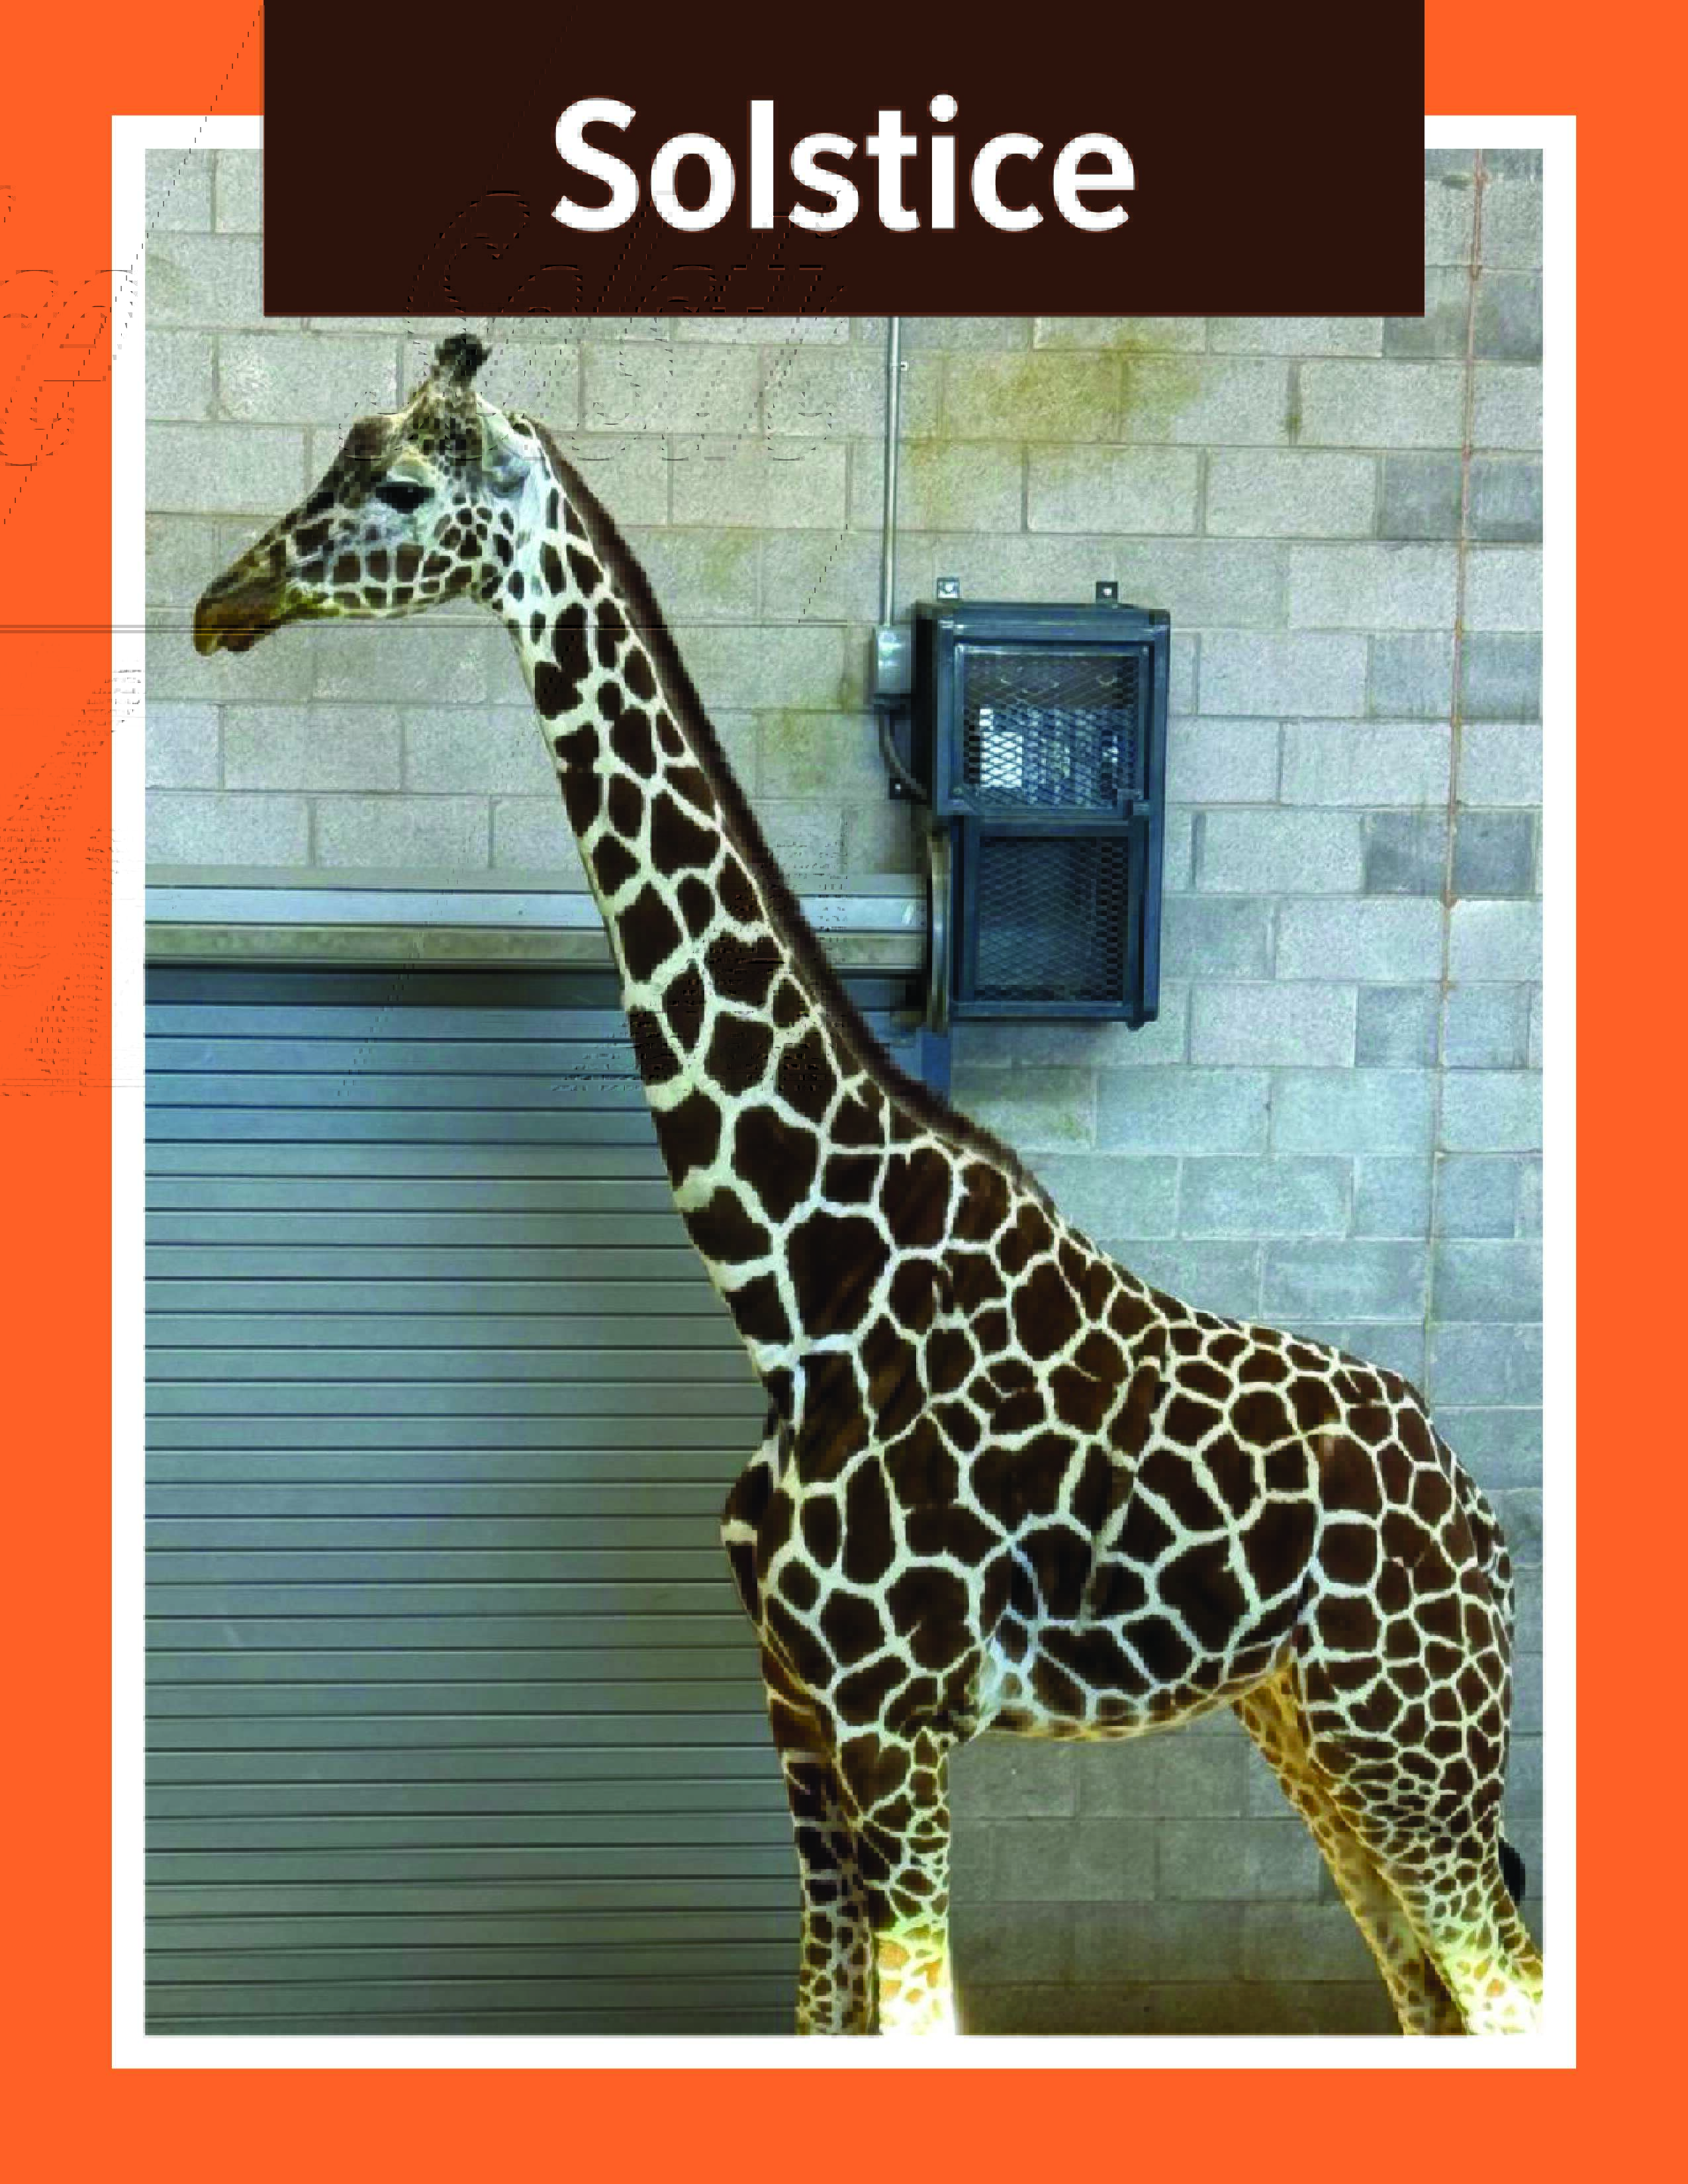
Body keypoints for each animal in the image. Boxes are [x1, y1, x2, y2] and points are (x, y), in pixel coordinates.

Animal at [193, 334, 1543, 2039]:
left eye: (402, 485)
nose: (221, 600)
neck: (794, 1294)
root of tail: (1480, 1507)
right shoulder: (796, 1711)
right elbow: (819, 2010)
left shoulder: (895, 1723)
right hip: (1308, 1728)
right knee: (1432, 1996)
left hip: (1416, 1740)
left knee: (1505, 1986)